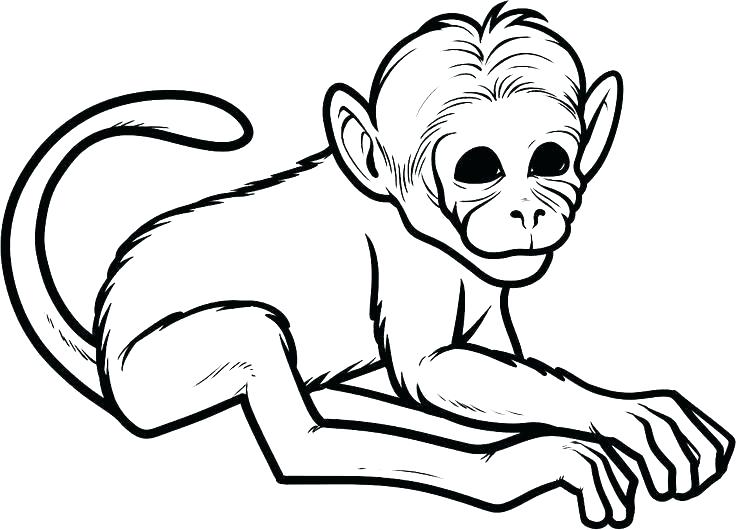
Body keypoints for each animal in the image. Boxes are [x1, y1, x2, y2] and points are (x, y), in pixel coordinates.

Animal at [2, 4, 733, 528]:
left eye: (550, 161)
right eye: (479, 169)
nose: (527, 211)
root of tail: (104, 341)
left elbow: (495, 367)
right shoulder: (413, 264)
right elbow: (429, 370)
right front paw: (606, 420)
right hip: (153, 373)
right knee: (296, 425)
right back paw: (508, 466)